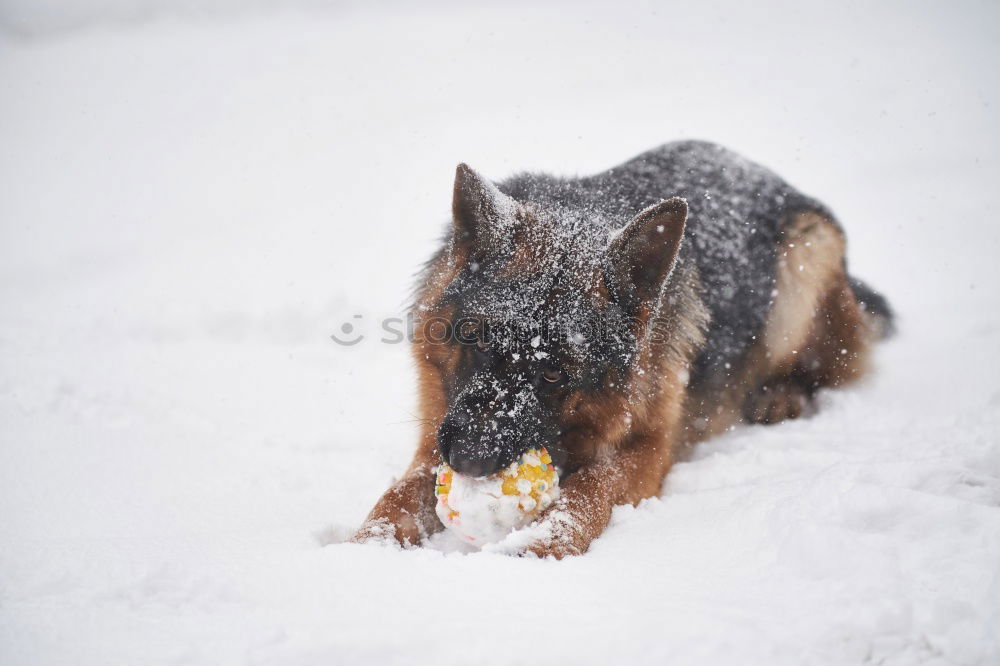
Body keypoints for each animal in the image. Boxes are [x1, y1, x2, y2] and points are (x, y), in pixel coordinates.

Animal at [352, 140, 892, 556]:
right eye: (481, 343)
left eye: (554, 374)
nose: (470, 459)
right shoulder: (434, 441)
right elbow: (396, 499)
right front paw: (364, 552)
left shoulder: (647, 451)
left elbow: (588, 491)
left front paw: (540, 546)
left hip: (803, 263)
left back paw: (781, 395)